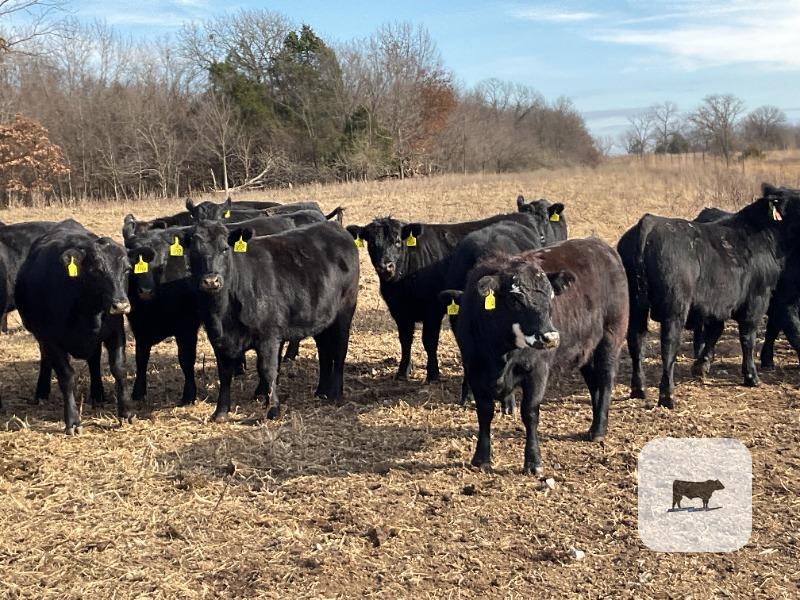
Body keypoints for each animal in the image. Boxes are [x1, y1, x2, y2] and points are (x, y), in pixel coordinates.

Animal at [15, 221, 133, 434]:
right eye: (95, 270)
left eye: (127, 269)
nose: (120, 305)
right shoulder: (51, 340)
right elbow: (66, 376)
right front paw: (72, 421)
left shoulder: (115, 332)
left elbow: (119, 368)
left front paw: (125, 412)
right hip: (40, 337)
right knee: (45, 359)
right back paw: (41, 392)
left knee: (94, 360)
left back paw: (97, 393)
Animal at [183, 220, 359, 421]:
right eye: (193, 252)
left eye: (225, 249)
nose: (211, 281)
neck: (223, 313)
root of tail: (335, 227)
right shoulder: (218, 339)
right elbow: (225, 374)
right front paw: (220, 412)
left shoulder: (269, 337)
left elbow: (268, 370)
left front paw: (273, 409)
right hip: (322, 318)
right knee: (324, 352)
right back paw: (322, 392)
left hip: (344, 312)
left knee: (339, 351)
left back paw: (335, 394)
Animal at [346, 209, 563, 383]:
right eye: (371, 244)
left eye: (398, 241)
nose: (385, 266)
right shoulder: (400, 312)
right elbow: (405, 341)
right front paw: (402, 372)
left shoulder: (433, 311)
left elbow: (429, 341)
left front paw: (433, 374)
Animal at [439, 237, 628, 475]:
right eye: (515, 299)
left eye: (551, 296)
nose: (550, 337)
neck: (500, 354)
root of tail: (600, 245)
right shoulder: (474, 369)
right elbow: (485, 412)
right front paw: (481, 458)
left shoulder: (537, 372)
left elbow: (529, 413)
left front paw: (533, 461)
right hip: (587, 351)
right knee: (594, 385)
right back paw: (594, 425)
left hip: (610, 341)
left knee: (605, 382)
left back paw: (599, 430)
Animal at [617, 185, 800, 408]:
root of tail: (649, 222)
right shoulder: (757, 301)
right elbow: (748, 338)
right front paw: (751, 377)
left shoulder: (717, 305)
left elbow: (715, 331)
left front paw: (701, 367)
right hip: (674, 310)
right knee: (668, 347)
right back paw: (667, 396)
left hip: (637, 307)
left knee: (636, 341)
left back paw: (639, 389)